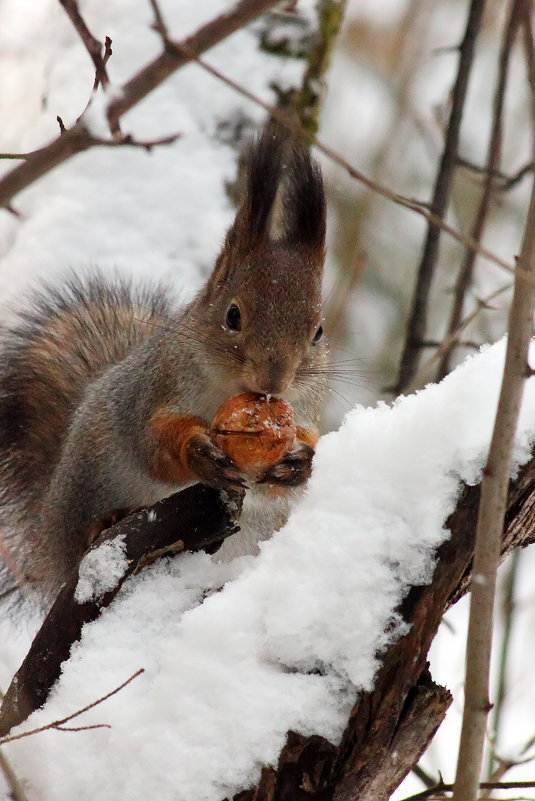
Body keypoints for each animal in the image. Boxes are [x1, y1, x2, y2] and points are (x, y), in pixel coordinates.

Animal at [0, 120, 326, 608]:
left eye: (318, 332)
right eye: (233, 315)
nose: (275, 380)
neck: (231, 392)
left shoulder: (305, 410)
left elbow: (296, 462)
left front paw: (298, 463)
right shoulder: (156, 386)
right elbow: (155, 443)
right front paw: (200, 453)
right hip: (88, 477)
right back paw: (105, 523)